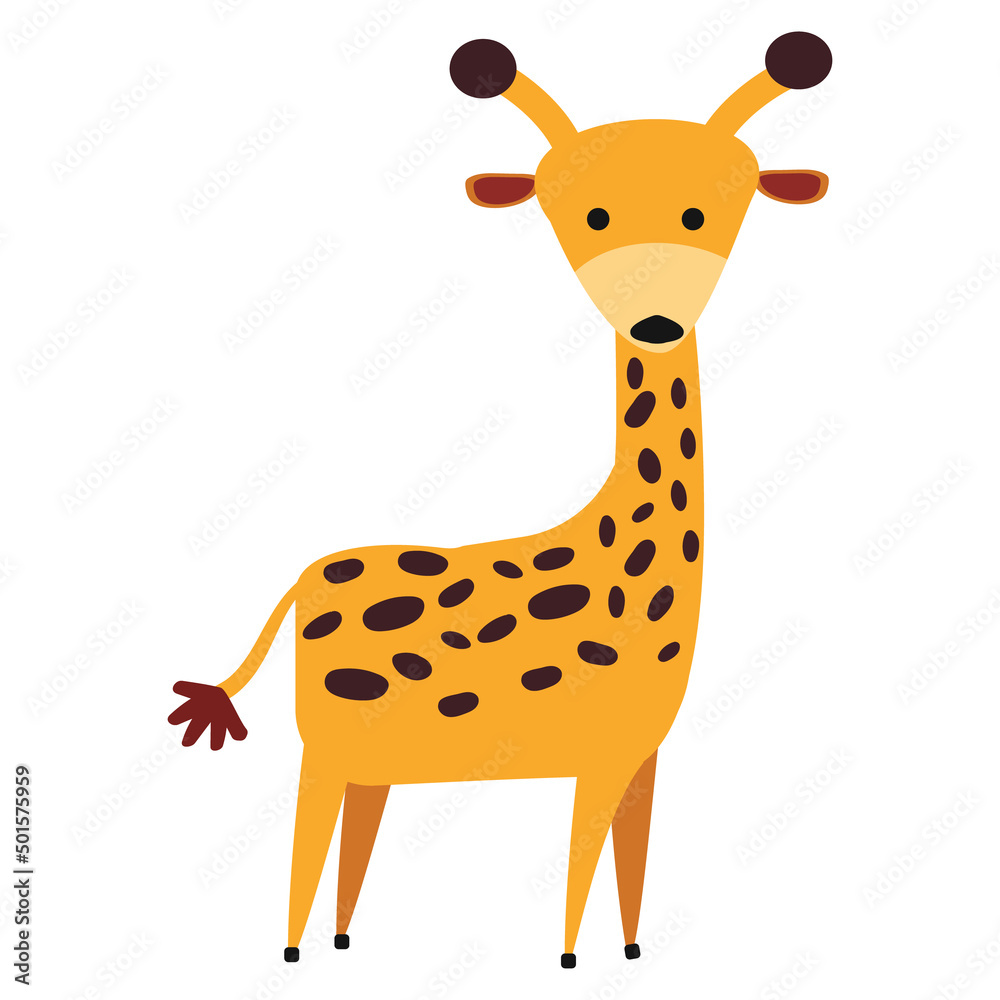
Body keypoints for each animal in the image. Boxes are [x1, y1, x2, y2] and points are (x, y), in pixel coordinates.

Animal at [169, 32, 832, 969]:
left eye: (710, 211)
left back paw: (343, 941)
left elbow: (631, 870)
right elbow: (579, 875)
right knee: (305, 842)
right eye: (587, 216)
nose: (657, 321)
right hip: (323, 746)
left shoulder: (642, 756)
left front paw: (633, 955)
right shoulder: (596, 754)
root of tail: (300, 581)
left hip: (374, 755)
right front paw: (569, 962)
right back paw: (295, 951)